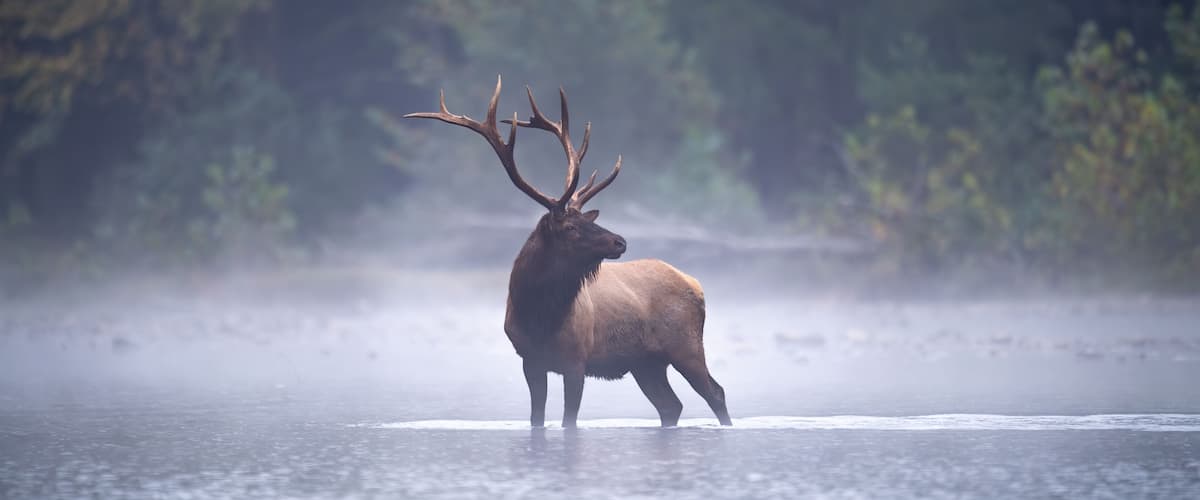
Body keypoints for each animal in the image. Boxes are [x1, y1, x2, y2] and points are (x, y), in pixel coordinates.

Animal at [405, 76, 731, 428]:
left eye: (587, 221)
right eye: (571, 227)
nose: (620, 241)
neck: (538, 315)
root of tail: (695, 284)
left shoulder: (577, 360)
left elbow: (568, 420)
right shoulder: (530, 361)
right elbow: (536, 417)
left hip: (686, 345)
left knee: (715, 392)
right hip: (646, 363)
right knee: (671, 405)